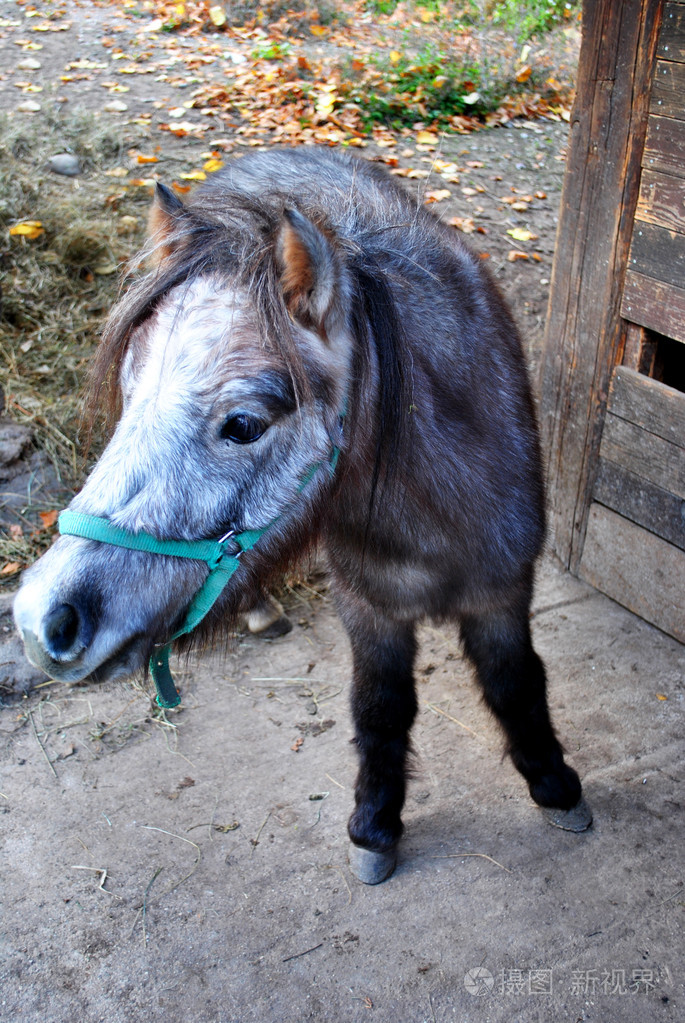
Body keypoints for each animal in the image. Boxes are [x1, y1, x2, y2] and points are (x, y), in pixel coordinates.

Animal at [14, 148, 588, 883]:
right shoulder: (366, 608)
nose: (39, 620)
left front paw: (555, 785)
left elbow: (516, 684)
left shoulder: (504, 593)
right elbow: (380, 707)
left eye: (244, 424)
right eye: (128, 393)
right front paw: (375, 826)